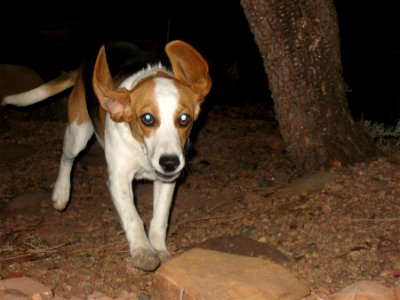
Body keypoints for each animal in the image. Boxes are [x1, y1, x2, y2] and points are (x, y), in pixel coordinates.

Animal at [0, 38, 212, 270]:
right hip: (77, 132)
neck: (141, 149)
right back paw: (61, 193)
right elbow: (133, 216)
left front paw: (159, 249)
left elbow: (160, 218)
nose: (170, 163)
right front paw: (143, 250)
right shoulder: (119, 179)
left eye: (184, 119)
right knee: (67, 158)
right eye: (147, 118)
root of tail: (84, 64)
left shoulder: (166, 181)